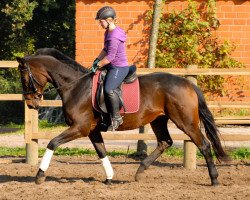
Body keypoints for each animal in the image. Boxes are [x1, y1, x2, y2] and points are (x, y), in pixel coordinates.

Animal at [16, 47, 229, 185]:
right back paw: (140, 171)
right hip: (159, 120)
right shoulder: (92, 130)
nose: (31, 104)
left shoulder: (80, 128)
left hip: (185, 121)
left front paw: (40, 175)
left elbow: (53, 143)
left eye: (24, 77)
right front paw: (110, 178)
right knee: (165, 142)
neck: (76, 86)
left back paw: (215, 179)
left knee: (204, 145)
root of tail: (187, 83)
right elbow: (101, 152)